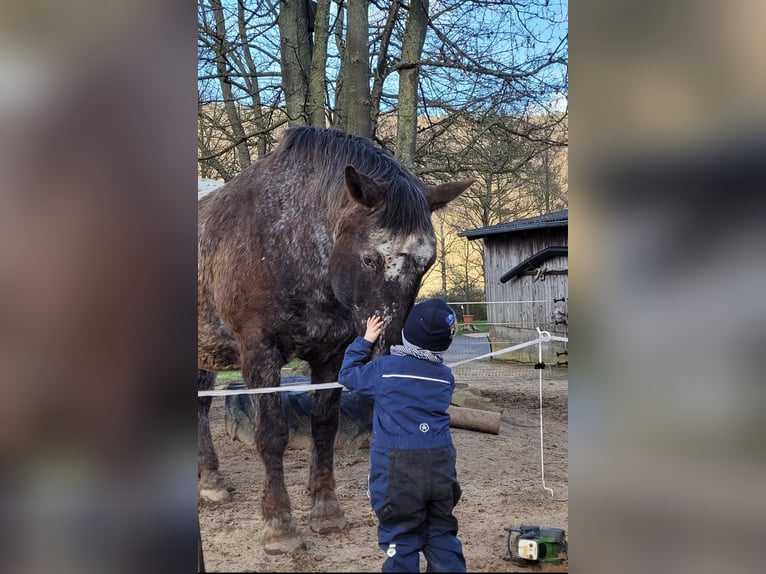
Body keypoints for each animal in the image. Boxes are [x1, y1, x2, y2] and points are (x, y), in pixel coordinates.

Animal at [198, 125, 474, 552]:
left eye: (426, 263)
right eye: (369, 259)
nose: (387, 351)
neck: (285, 240)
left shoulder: (330, 355)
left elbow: (325, 427)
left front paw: (326, 510)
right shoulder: (259, 353)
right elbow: (271, 435)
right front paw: (280, 524)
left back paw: (210, 481)